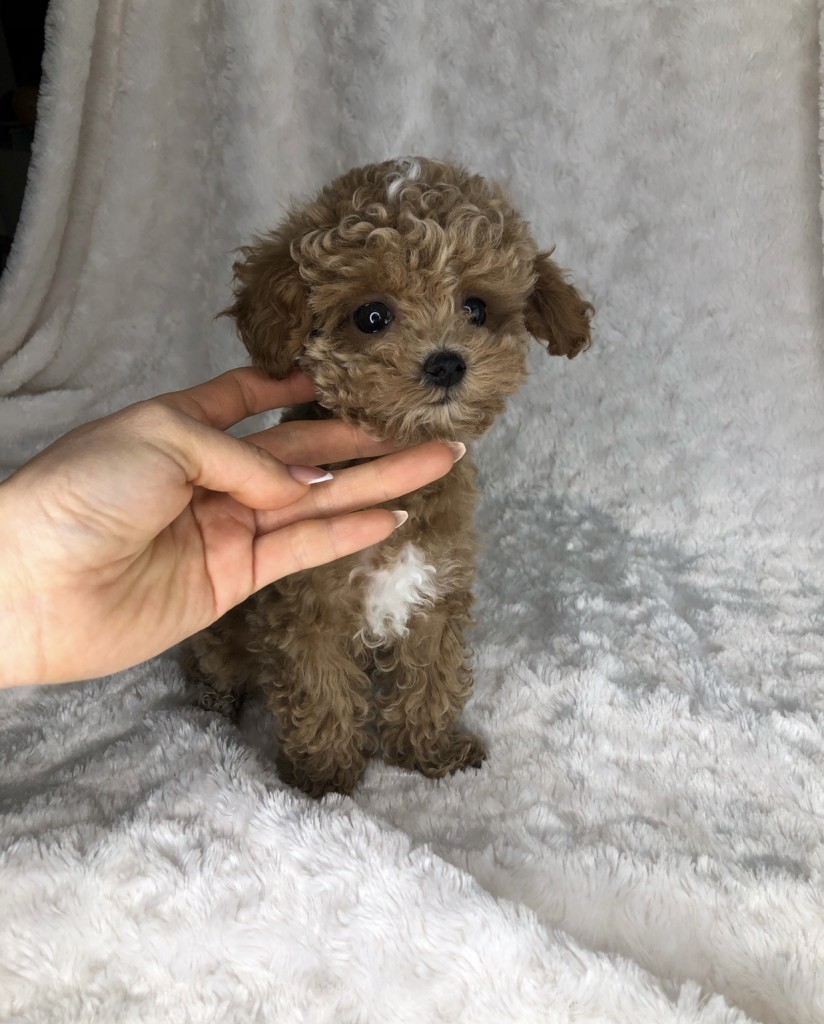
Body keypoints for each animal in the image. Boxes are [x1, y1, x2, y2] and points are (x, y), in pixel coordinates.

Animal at [185, 157, 589, 798]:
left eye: (476, 308)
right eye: (371, 317)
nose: (446, 362)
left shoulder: (435, 590)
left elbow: (430, 678)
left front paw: (430, 753)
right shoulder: (307, 608)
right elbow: (321, 692)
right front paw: (324, 783)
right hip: (223, 631)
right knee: (212, 659)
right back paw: (213, 701)